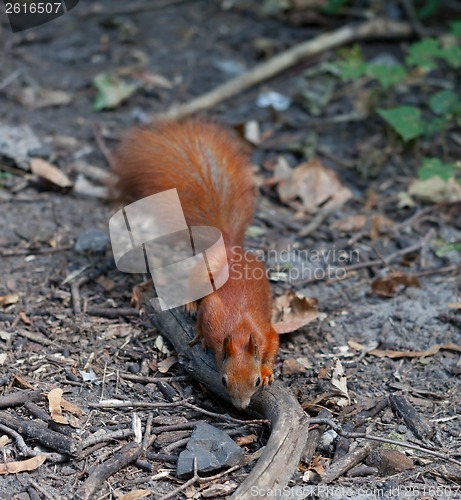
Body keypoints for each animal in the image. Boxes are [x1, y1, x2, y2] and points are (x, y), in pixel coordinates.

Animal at [111, 118, 278, 410]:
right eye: (224, 380)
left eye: (256, 381)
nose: (240, 407)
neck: (240, 331)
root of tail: (229, 248)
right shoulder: (214, 314)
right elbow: (204, 316)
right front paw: (199, 335)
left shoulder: (266, 333)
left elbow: (274, 344)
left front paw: (268, 370)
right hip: (204, 270)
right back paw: (189, 304)